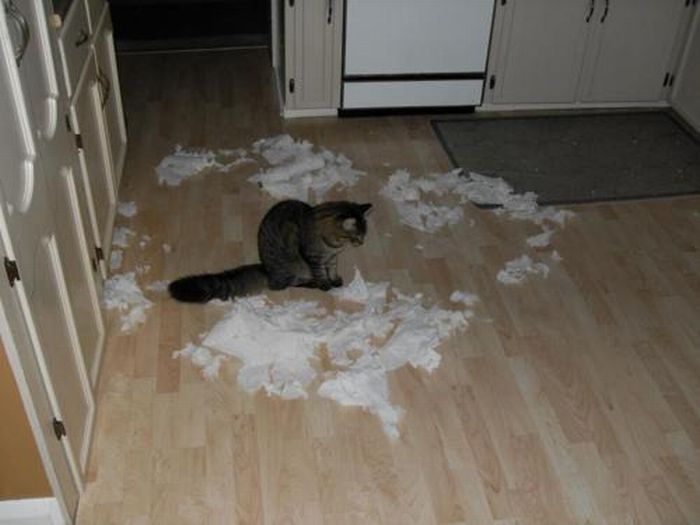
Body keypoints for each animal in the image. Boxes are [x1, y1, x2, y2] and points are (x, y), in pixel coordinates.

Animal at [168, 200, 372, 303]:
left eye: (363, 236)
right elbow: (321, 273)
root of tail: (266, 270)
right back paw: (311, 283)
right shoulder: (314, 259)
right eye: (357, 237)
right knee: (285, 285)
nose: (362, 243)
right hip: (293, 267)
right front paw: (326, 284)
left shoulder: (331, 258)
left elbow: (332, 269)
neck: (332, 245)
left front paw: (335, 279)